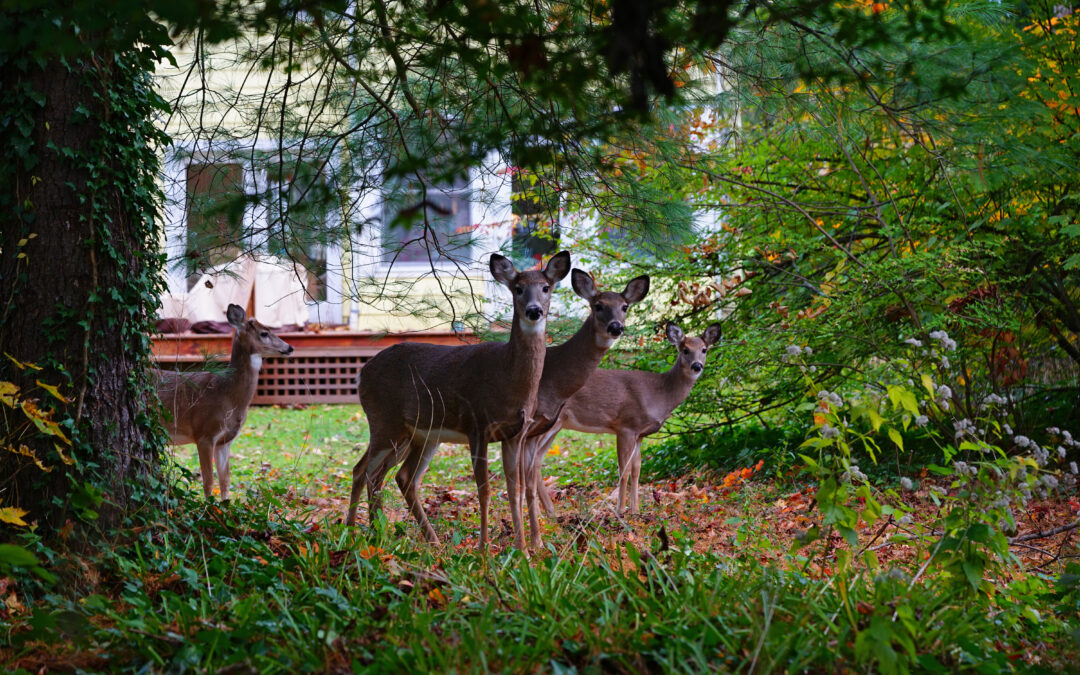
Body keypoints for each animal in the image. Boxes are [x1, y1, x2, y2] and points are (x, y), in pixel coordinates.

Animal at [154, 303, 294, 501]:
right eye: (264, 333)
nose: (290, 347)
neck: (228, 394)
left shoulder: (225, 440)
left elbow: (225, 480)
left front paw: (226, 505)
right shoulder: (204, 433)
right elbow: (208, 481)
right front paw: (208, 507)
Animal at [346, 251, 571, 550]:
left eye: (546, 288)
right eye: (518, 289)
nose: (534, 310)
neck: (508, 378)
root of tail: (362, 372)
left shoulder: (515, 434)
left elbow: (516, 489)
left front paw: (523, 549)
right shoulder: (477, 424)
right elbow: (484, 490)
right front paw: (484, 547)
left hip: (419, 435)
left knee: (399, 477)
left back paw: (411, 538)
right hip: (384, 422)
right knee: (362, 471)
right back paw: (352, 534)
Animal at [529, 321, 721, 516]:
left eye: (704, 349)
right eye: (685, 350)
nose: (697, 366)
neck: (658, 394)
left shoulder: (640, 434)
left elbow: (636, 469)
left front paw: (635, 509)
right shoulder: (626, 426)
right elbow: (624, 469)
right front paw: (620, 510)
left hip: (556, 425)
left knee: (536, 461)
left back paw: (549, 513)